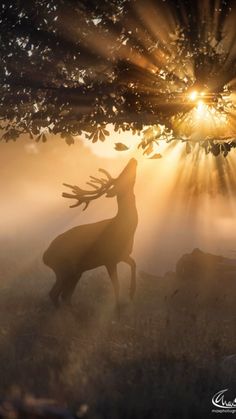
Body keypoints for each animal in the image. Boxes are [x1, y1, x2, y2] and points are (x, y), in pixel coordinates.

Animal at [42, 158, 138, 308]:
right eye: (121, 177)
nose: (133, 160)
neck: (126, 230)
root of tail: (45, 257)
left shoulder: (123, 255)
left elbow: (134, 264)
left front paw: (132, 292)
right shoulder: (108, 259)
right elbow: (116, 286)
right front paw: (117, 308)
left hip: (75, 272)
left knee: (65, 296)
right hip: (63, 269)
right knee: (55, 293)